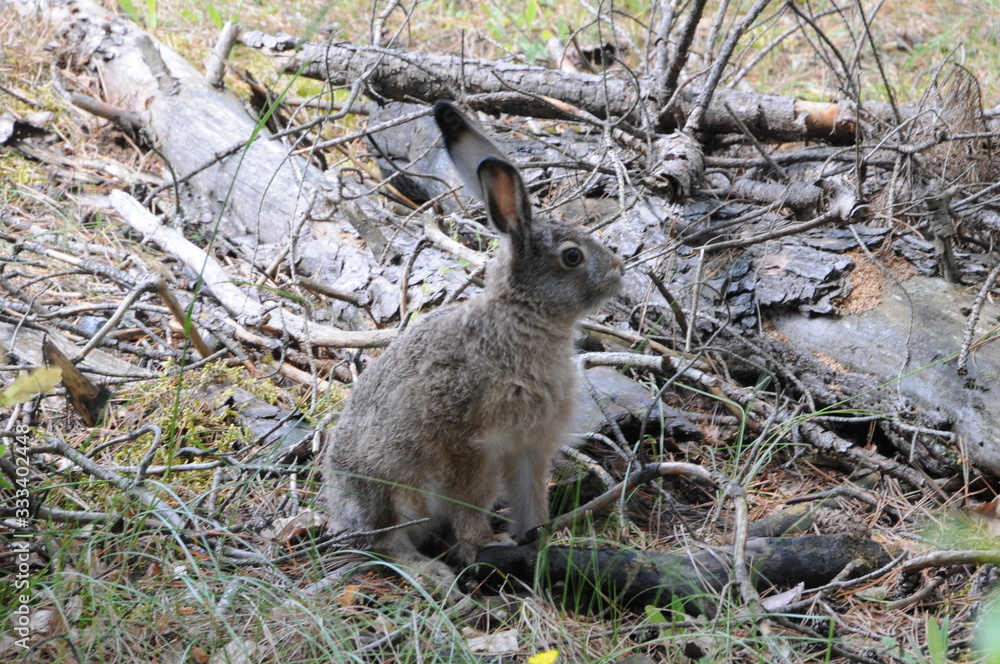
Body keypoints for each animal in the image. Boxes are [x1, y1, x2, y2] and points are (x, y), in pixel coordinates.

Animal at [319, 100, 624, 583]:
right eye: (572, 256)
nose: (619, 271)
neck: (523, 319)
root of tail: (345, 515)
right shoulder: (470, 446)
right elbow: (468, 502)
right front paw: (485, 545)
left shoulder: (529, 447)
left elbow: (530, 499)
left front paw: (539, 539)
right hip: (394, 491)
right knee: (388, 545)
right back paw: (433, 573)